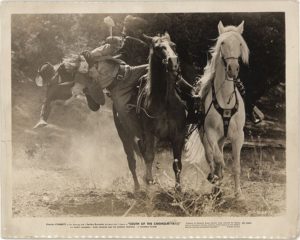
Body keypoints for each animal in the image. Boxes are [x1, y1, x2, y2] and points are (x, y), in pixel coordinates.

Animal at [115, 33, 188, 191]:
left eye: (173, 45)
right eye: (158, 48)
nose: (173, 62)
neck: (165, 102)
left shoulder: (178, 135)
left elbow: (177, 163)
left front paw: (178, 187)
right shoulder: (149, 133)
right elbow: (149, 157)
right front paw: (149, 180)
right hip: (125, 135)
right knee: (132, 161)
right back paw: (137, 187)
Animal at [198, 20, 250, 198]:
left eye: (240, 43)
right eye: (222, 43)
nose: (233, 68)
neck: (225, 99)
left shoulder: (238, 136)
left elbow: (236, 166)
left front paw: (238, 193)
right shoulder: (211, 134)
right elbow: (218, 159)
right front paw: (216, 178)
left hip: (222, 138)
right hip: (205, 137)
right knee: (210, 157)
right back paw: (214, 182)